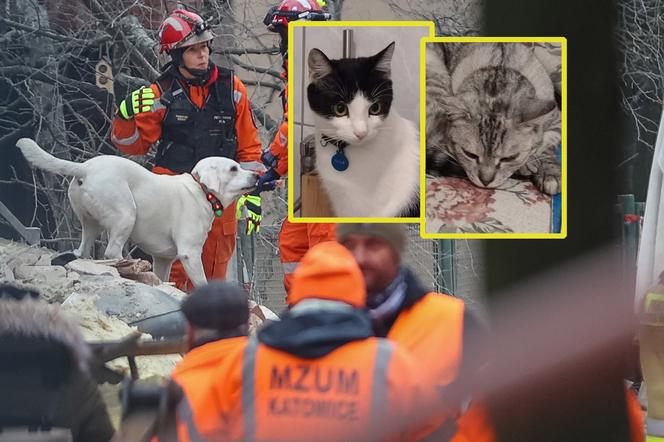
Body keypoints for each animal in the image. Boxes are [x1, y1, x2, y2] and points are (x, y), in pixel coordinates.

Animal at [14, 138, 260, 286]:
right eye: (233, 168)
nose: (257, 176)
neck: (201, 190)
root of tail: (86, 167)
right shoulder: (189, 253)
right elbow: (200, 282)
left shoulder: (164, 259)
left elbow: (163, 276)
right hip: (125, 214)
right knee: (112, 252)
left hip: (90, 223)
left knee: (83, 250)